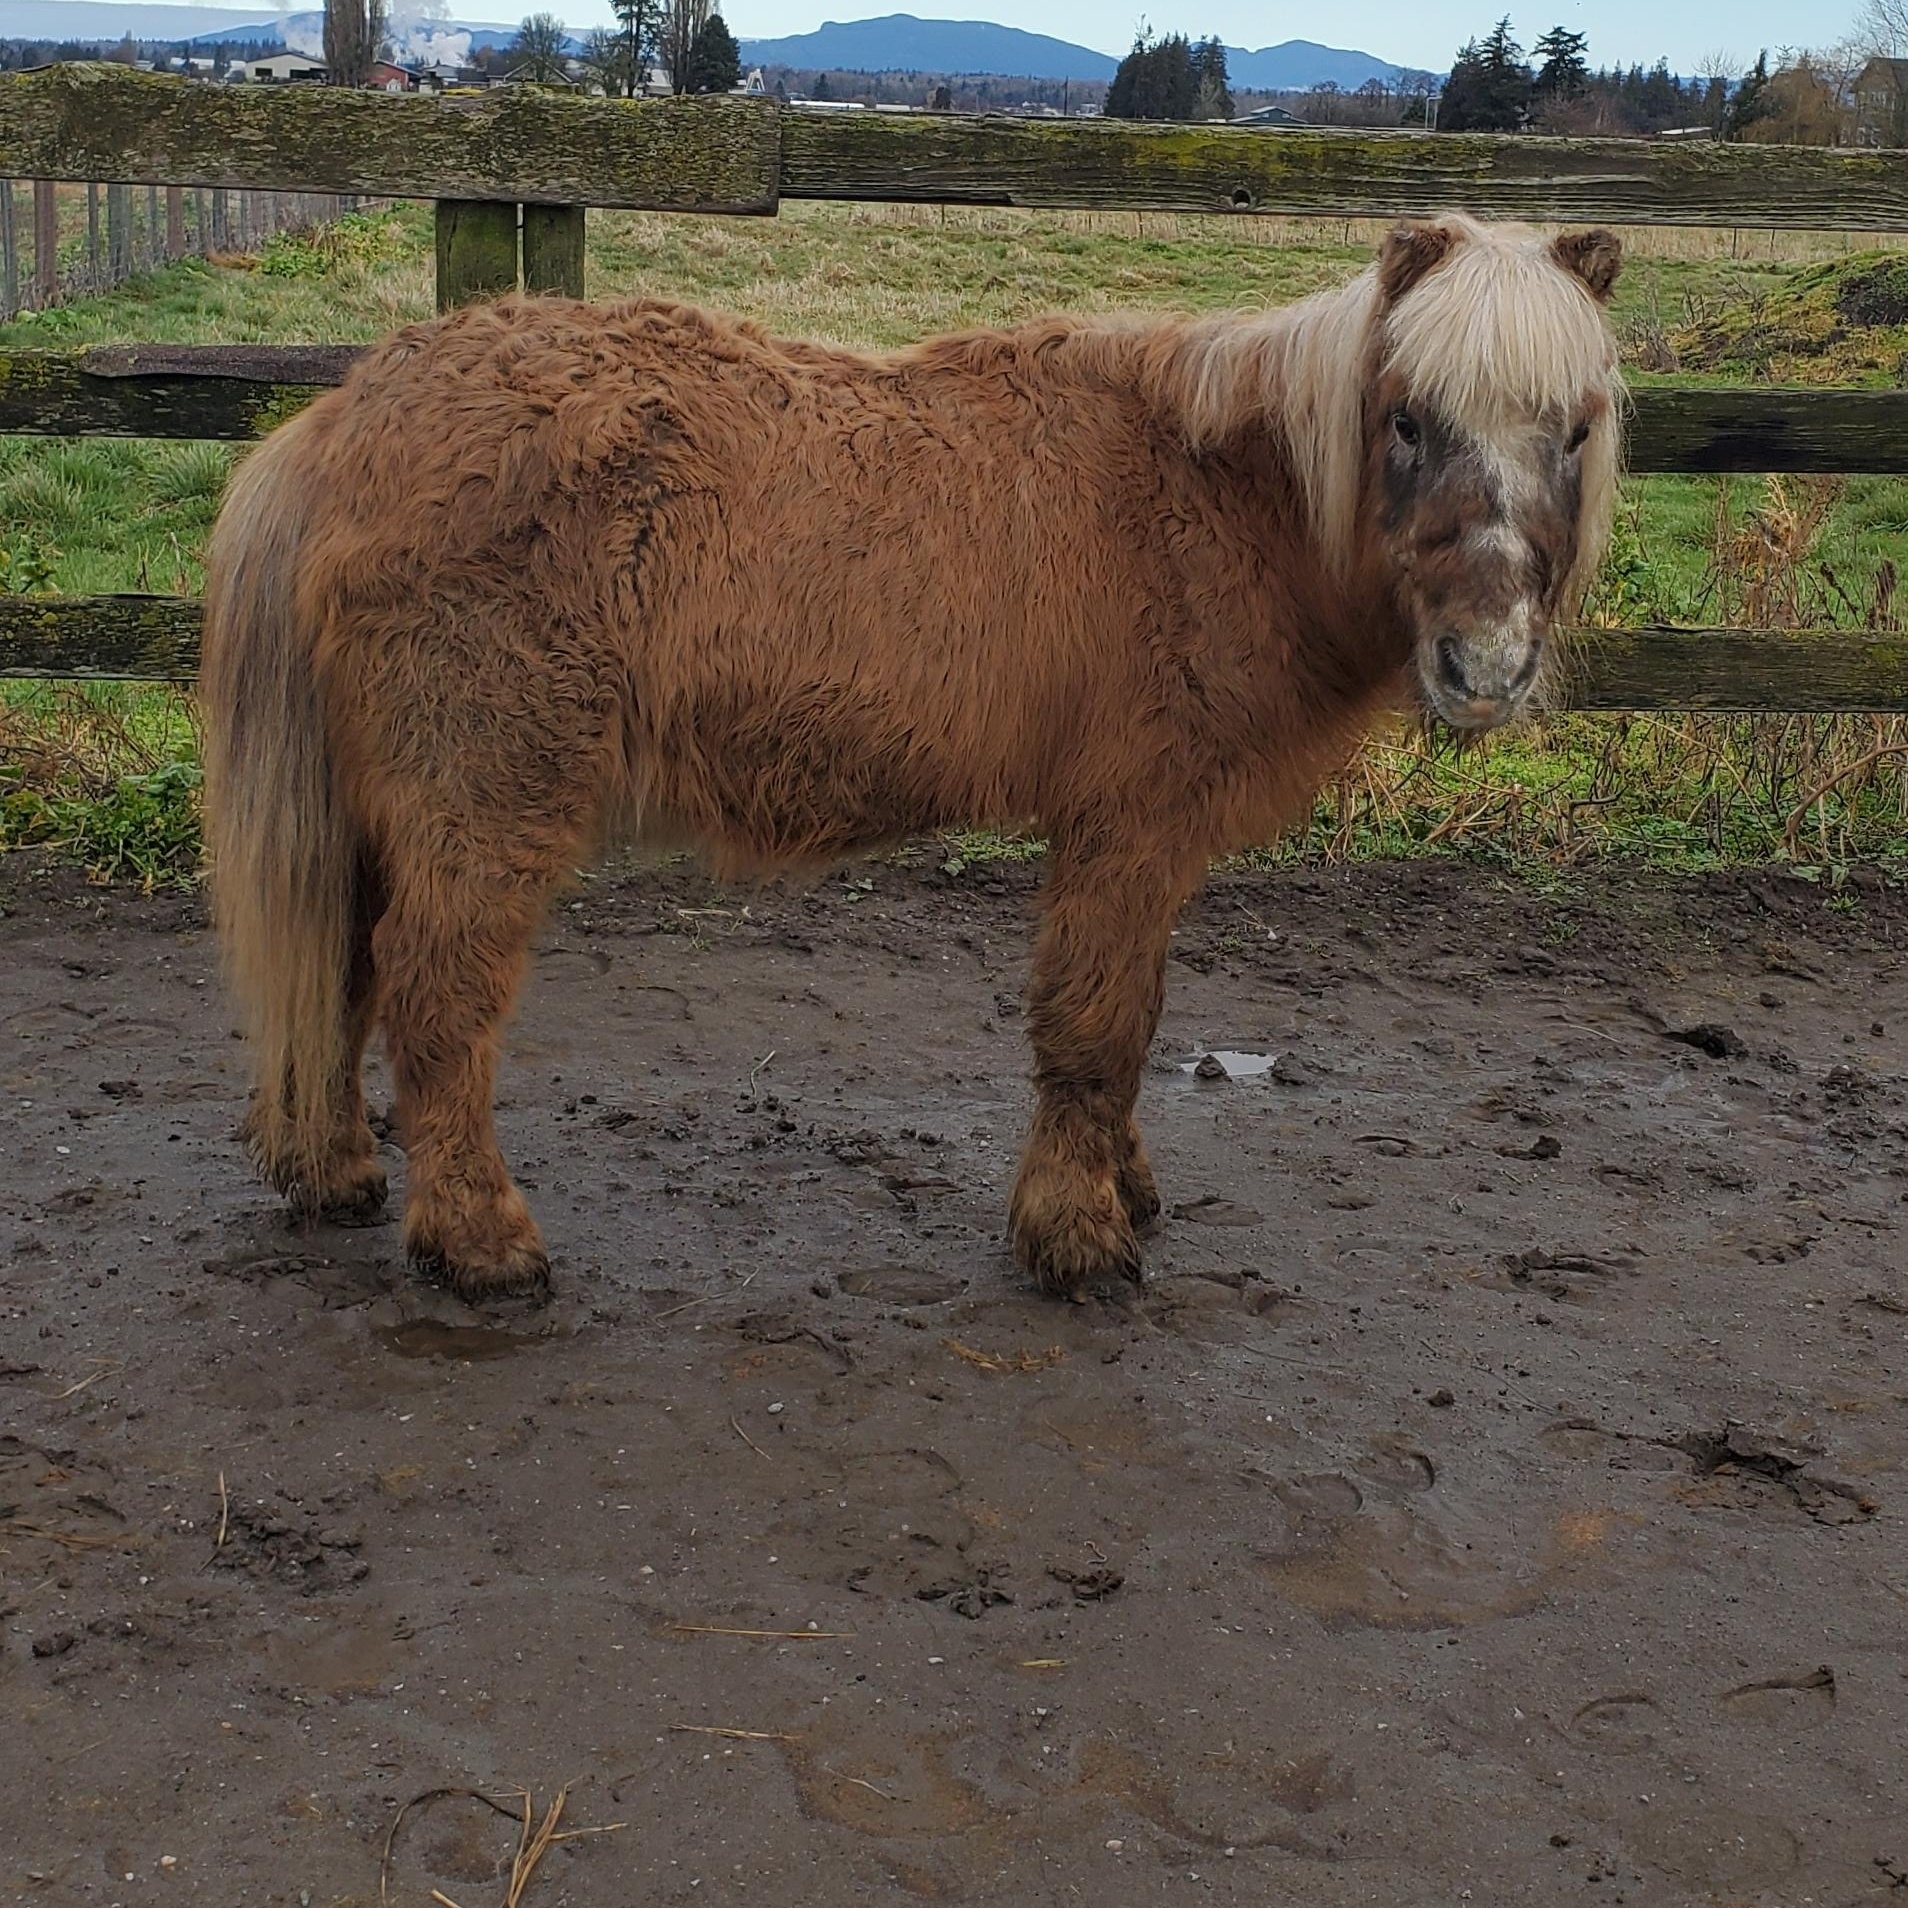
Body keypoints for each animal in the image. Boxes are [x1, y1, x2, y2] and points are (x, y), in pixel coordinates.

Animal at [200, 212, 1624, 1305]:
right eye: (1407, 421)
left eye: (1575, 433)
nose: (1485, 667)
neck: (1221, 496)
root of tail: (345, 416)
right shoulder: (1126, 828)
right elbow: (1096, 1026)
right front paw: (1077, 1236)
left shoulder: (1149, 845)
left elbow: (1139, 1018)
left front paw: (1125, 1186)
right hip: (487, 799)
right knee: (436, 996)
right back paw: (478, 1242)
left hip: (391, 810)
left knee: (346, 962)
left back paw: (336, 1172)